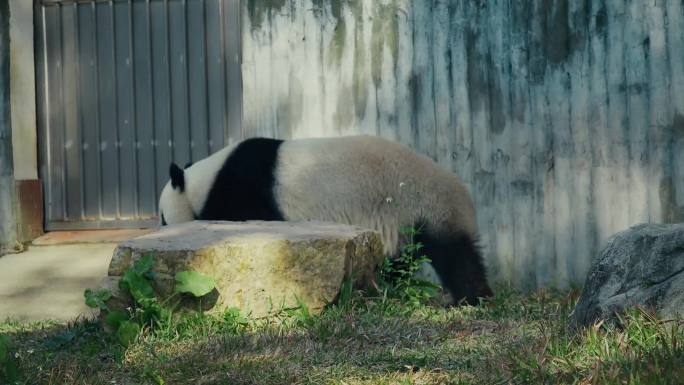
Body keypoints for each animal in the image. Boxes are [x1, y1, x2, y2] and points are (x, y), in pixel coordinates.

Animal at [159, 134, 492, 304]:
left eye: (162, 217)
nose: (160, 227)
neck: (202, 182)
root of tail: (464, 195)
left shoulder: (244, 191)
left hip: (424, 205)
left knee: (455, 254)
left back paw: (472, 298)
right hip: (403, 221)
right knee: (399, 261)